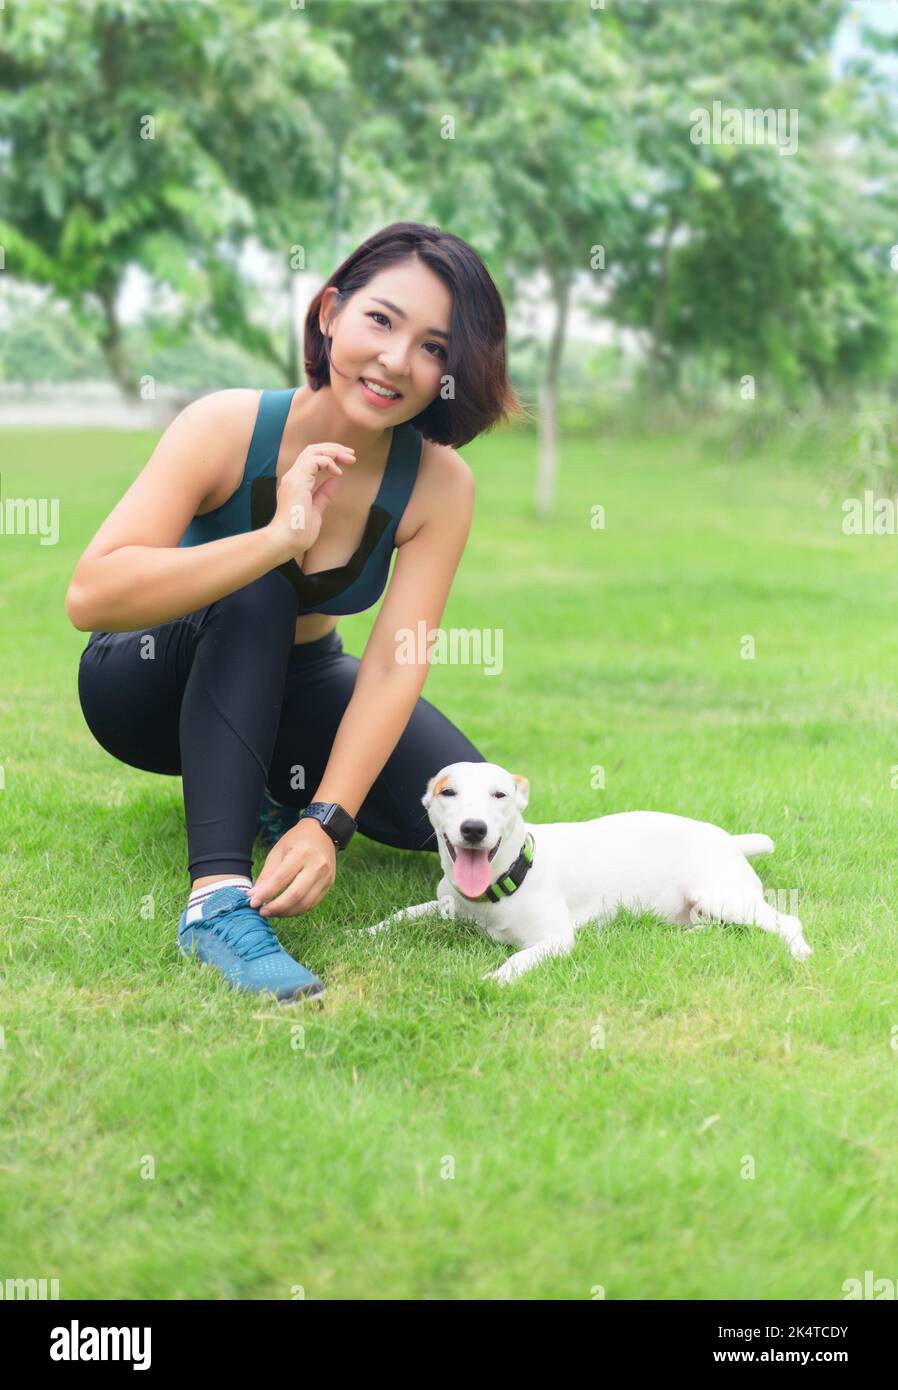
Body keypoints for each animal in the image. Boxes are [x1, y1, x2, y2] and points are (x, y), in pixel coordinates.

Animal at [369, 767, 811, 984]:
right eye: (447, 792)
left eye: (500, 794)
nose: (474, 829)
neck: (506, 878)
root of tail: (730, 839)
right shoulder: (448, 905)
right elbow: (404, 913)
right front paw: (366, 933)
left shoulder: (554, 940)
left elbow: (518, 959)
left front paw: (495, 979)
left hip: (724, 896)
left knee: (787, 921)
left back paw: (800, 952)